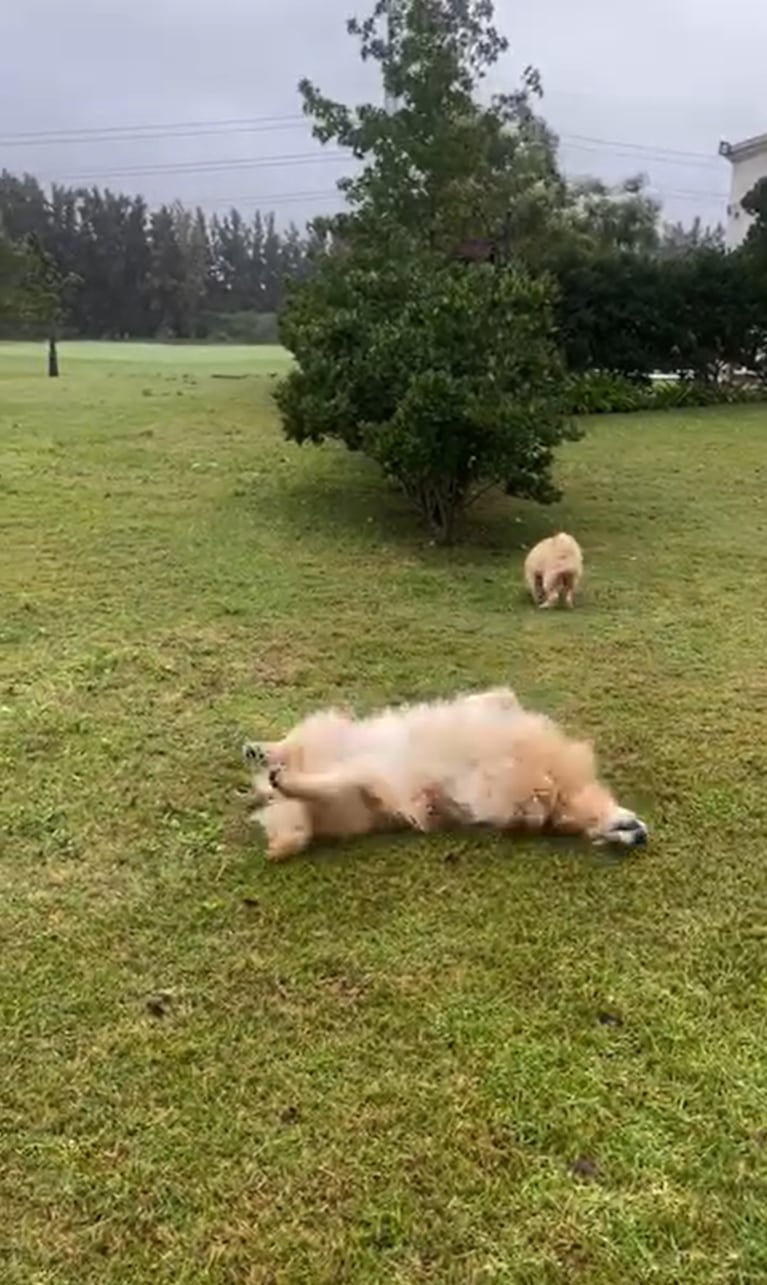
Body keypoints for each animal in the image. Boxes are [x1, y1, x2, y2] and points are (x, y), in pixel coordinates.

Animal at [240, 688, 644, 858]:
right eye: (622, 836)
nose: (640, 838)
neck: (567, 792)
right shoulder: (506, 714)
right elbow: (500, 696)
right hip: (335, 733)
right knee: (291, 746)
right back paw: (263, 751)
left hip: (366, 787)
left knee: (325, 781)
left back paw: (283, 779)